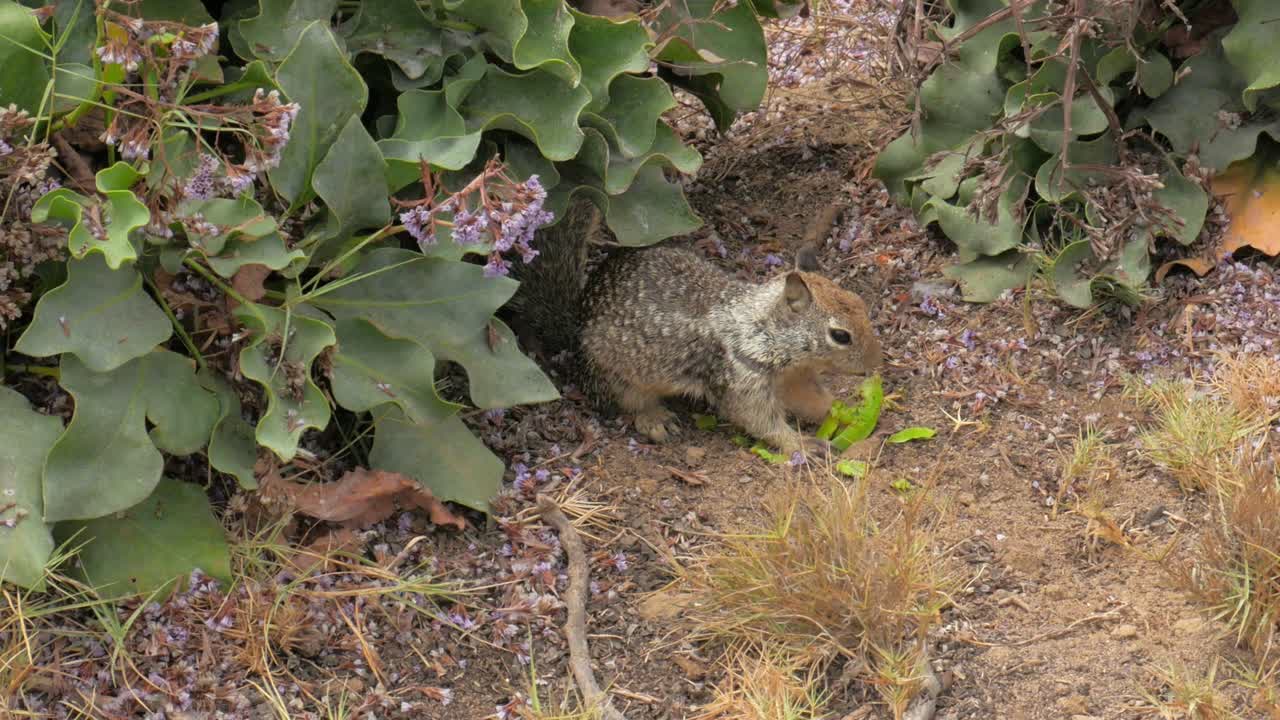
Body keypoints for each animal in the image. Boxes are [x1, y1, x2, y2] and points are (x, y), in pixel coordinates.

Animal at [509, 197, 882, 454]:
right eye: (840, 335)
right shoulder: (741, 380)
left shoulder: (794, 379)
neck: (764, 332)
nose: (874, 365)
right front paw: (801, 444)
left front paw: (848, 411)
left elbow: (812, 401)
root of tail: (574, 327)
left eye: (862, 304)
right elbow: (759, 421)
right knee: (626, 403)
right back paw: (655, 419)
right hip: (618, 378)